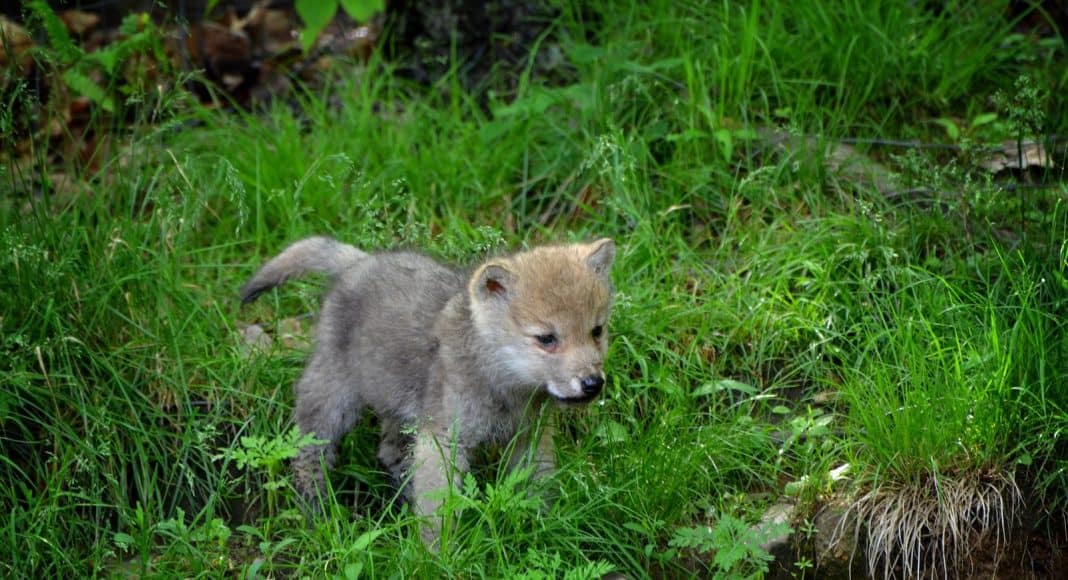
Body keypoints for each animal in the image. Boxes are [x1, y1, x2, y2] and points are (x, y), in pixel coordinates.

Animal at [239, 236, 615, 544]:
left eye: (597, 331)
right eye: (546, 338)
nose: (593, 383)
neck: (503, 385)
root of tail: (358, 262)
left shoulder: (530, 436)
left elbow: (536, 485)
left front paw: (541, 527)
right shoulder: (443, 440)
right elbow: (440, 509)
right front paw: (436, 555)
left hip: (397, 405)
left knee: (389, 452)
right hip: (333, 395)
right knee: (308, 452)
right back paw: (318, 512)